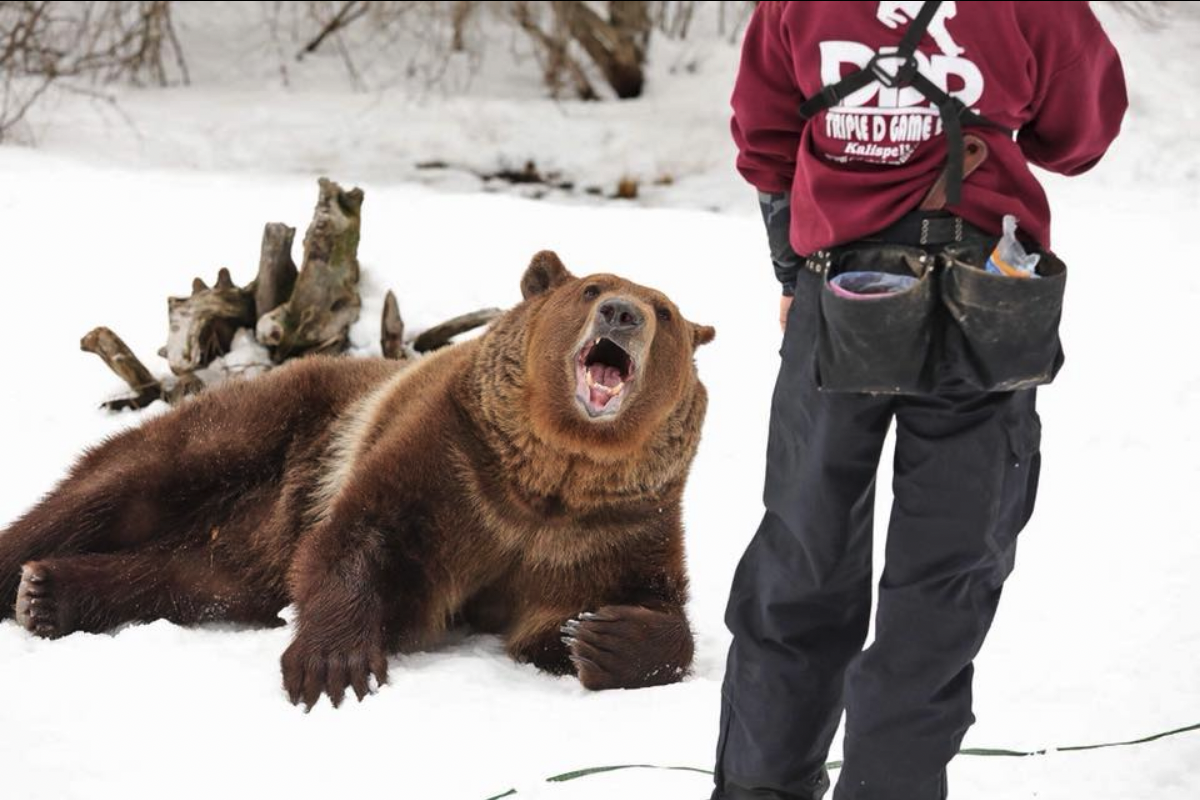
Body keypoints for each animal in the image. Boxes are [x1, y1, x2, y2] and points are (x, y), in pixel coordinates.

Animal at [0, 251, 716, 708]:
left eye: (665, 311)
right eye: (591, 290)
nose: (623, 313)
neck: (548, 476)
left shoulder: (609, 527)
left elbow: (630, 608)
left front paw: (601, 635)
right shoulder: (452, 459)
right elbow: (362, 534)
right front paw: (333, 666)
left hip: (251, 543)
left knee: (190, 578)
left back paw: (50, 594)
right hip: (262, 429)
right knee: (121, 488)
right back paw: (23, 573)